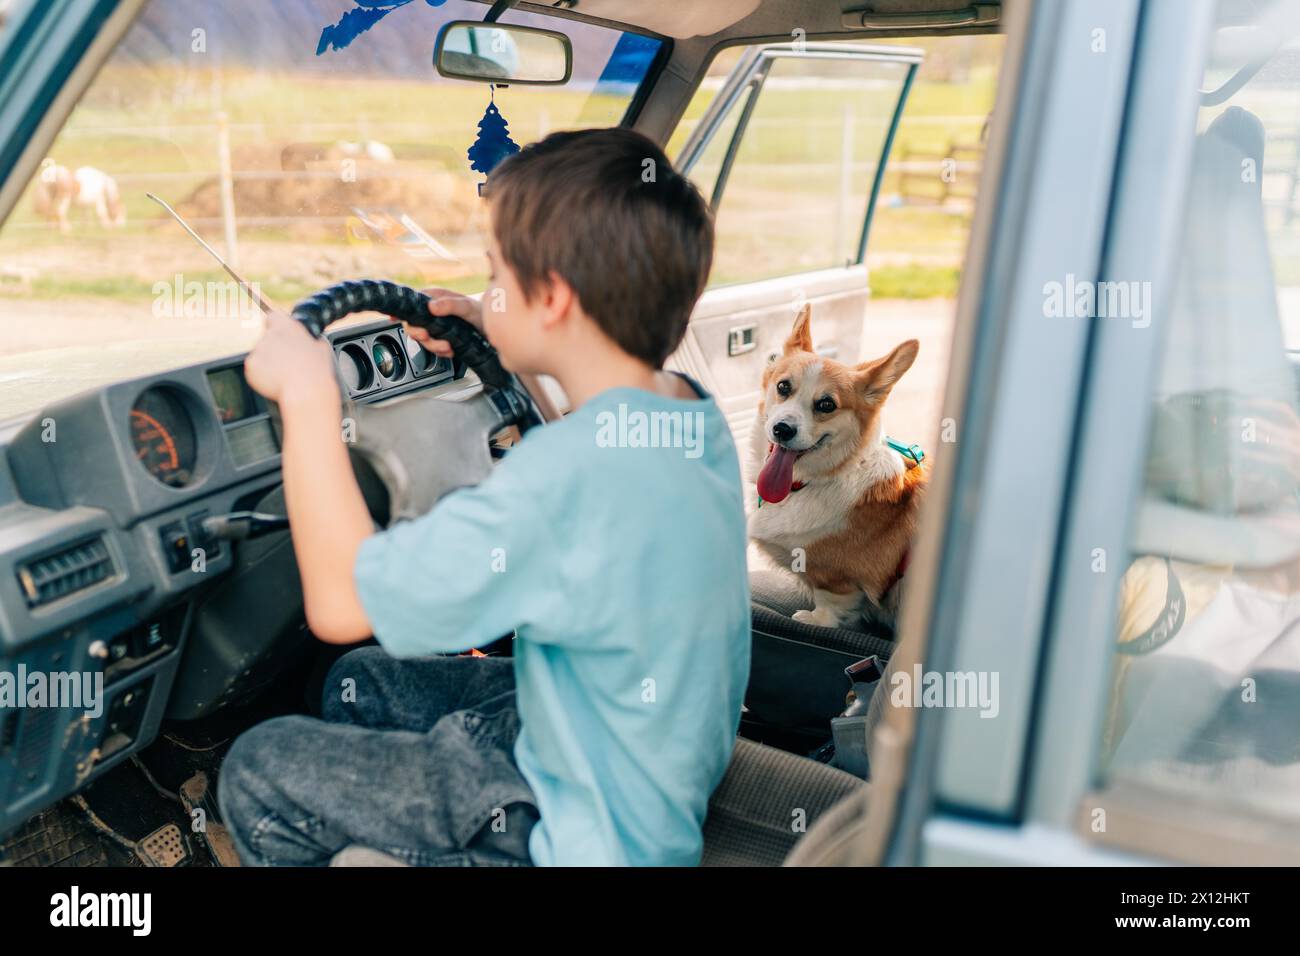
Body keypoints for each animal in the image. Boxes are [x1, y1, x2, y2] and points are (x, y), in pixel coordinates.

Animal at [748, 306, 930, 632]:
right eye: (783, 387)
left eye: (826, 405)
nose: (782, 429)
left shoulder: (838, 581)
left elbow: (831, 605)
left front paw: (813, 619)